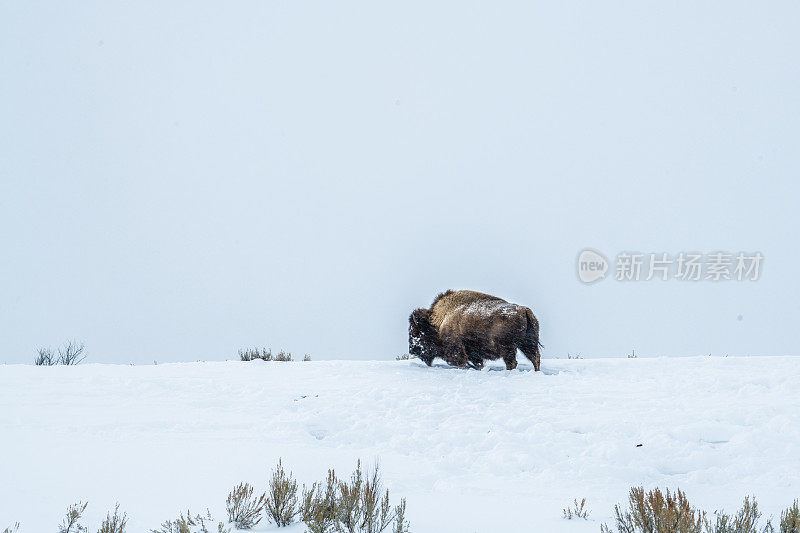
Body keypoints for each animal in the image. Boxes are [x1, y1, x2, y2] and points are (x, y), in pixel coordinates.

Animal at [406, 290, 544, 370]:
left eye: (415, 332)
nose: (412, 349)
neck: (440, 321)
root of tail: (524, 310)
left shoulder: (456, 349)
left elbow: (459, 361)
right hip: (527, 344)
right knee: (535, 358)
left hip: (508, 348)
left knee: (513, 362)